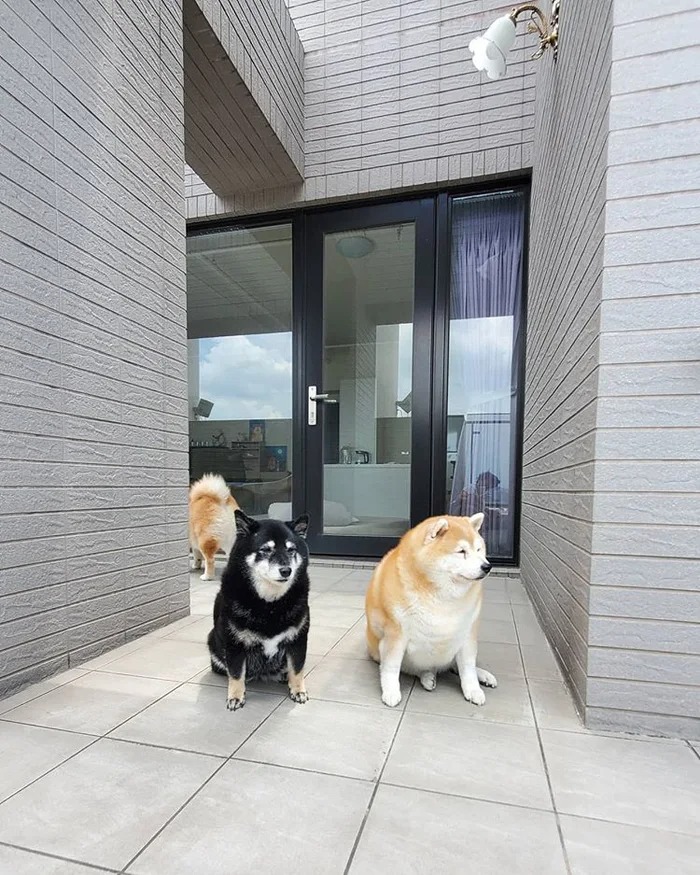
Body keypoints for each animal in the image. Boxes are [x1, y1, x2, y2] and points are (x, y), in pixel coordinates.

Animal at [207, 509, 311, 711]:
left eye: (291, 550)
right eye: (265, 550)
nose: (286, 570)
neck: (269, 604)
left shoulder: (298, 639)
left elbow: (297, 668)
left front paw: (298, 690)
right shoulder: (235, 643)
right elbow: (236, 673)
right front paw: (235, 696)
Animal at [365, 513, 496, 708]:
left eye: (479, 549)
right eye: (461, 551)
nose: (487, 566)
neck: (442, 597)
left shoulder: (467, 634)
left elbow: (468, 668)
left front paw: (473, 690)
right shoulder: (395, 634)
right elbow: (391, 667)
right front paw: (391, 692)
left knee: (456, 666)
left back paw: (484, 676)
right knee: (420, 669)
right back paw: (428, 677)